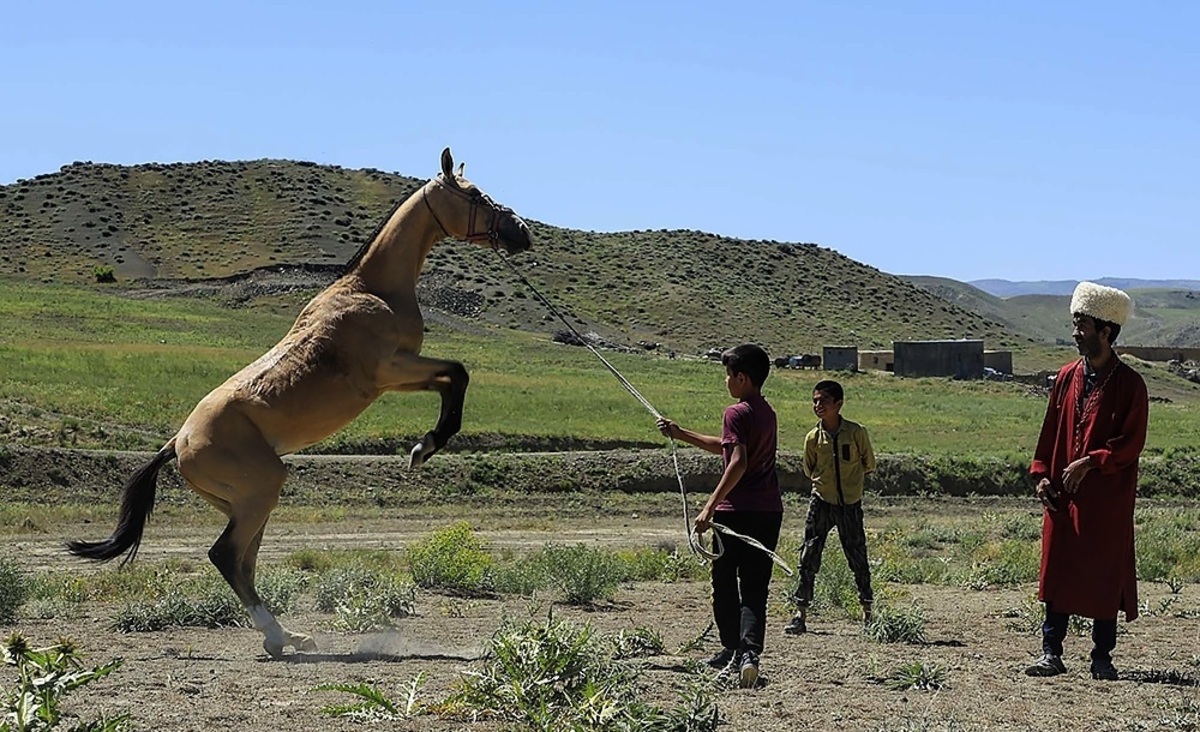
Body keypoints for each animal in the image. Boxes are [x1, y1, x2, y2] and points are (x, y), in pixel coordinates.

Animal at [66, 147, 530, 657]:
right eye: (475, 195)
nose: (521, 231)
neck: (371, 289)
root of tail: (177, 444)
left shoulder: (399, 378)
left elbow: (451, 380)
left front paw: (423, 447)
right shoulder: (391, 369)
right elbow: (459, 373)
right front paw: (423, 448)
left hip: (247, 504)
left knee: (243, 562)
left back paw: (289, 636)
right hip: (261, 492)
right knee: (225, 555)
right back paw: (276, 636)